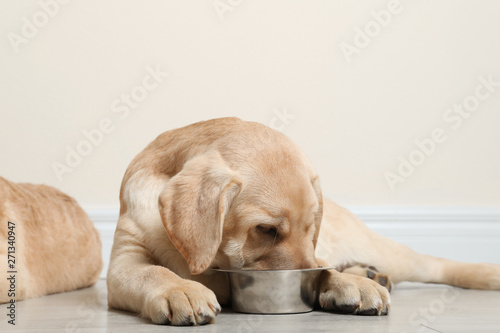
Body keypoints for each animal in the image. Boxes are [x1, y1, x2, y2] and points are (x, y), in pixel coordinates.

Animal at [108, 116, 500, 324]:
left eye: (312, 227)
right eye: (266, 230)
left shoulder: (316, 252)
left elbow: (322, 266)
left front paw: (345, 283)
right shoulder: (123, 263)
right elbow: (153, 272)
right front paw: (181, 289)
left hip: (384, 249)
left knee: (434, 264)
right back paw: (368, 273)